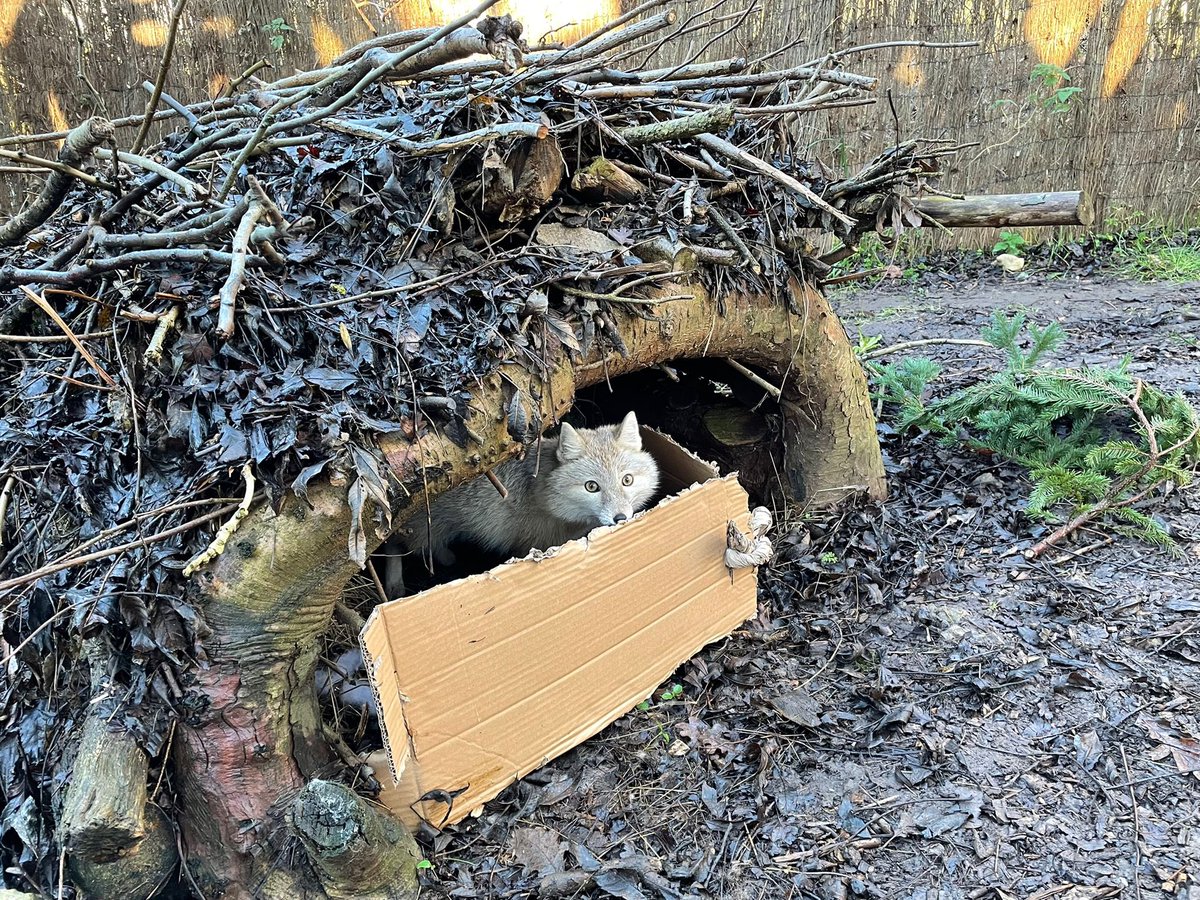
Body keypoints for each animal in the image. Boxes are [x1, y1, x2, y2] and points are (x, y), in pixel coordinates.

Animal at [381, 411, 659, 598]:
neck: (541, 493)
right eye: (592, 487)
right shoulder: (534, 544)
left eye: (627, 480)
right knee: (394, 547)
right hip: (420, 530)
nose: (621, 518)